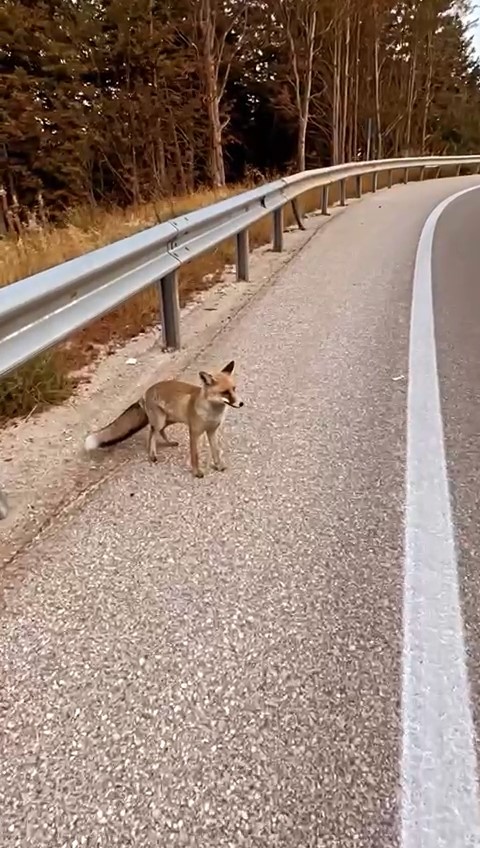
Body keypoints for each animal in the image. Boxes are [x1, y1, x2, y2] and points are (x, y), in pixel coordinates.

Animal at [83, 360, 244, 476]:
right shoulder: (194, 433)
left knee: (158, 431)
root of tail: (145, 393)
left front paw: (218, 466)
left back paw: (169, 443)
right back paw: (152, 454)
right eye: (225, 392)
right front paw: (196, 472)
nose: (241, 403)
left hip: (170, 420)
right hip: (160, 421)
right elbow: (195, 456)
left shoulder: (212, 431)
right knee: (152, 433)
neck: (211, 413)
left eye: (234, 389)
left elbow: (216, 452)